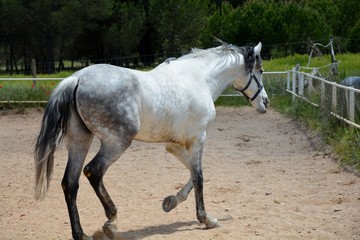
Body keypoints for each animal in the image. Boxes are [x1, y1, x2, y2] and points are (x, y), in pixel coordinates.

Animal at [34, 40, 268, 239]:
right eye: (260, 70)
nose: (265, 102)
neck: (200, 79)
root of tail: (77, 79)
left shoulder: (174, 145)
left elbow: (194, 173)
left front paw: (171, 201)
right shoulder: (198, 139)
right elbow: (199, 177)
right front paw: (206, 219)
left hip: (80, 142)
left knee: (70, 183)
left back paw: (81, 234)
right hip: (117, 142)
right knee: (93, 171)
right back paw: (111, 222)